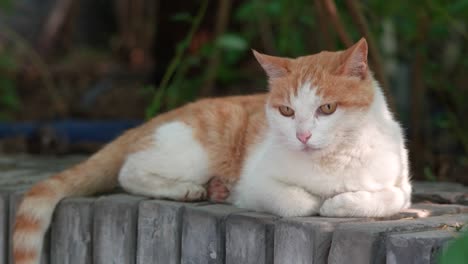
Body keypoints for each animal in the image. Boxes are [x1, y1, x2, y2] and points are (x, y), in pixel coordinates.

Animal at [12, 37, 412, 264]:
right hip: (193, 150)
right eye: (287, 111)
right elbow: (301, 202)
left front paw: (342, 201)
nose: (302, 135)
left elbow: (385, 198)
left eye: (327, 108)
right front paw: (321, 202)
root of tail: (161, 116)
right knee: (129, 170)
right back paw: (189, 189)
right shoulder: (256, 182)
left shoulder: (402, 186)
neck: (331, 161)